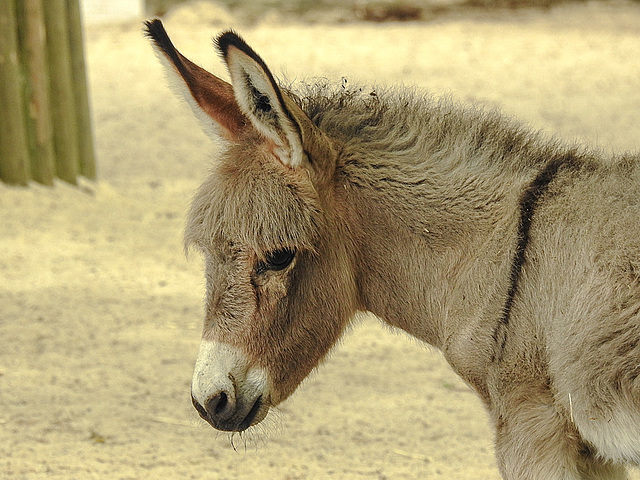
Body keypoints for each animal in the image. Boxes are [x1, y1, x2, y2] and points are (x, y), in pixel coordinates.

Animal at [145, 20, 640, 478]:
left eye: (279, 257)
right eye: (209, 255)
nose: (208, 400)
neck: (499, 255)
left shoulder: (531, 427)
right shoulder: (588, 451)